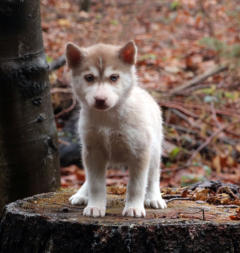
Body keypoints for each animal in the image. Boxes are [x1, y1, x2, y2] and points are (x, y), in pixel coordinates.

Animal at [65, 40, 167, 217]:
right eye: (89, 78)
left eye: (114, 77)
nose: (100, 100)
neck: (108, 119)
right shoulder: (93, 151)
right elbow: (96, 184)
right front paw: (95, 207)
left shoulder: (140, 152)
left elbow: (136, 186)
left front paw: (134, 208)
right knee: (88, 178)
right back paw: (81, 194)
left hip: (154, 151)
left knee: (153, 176)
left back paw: (154, 198)